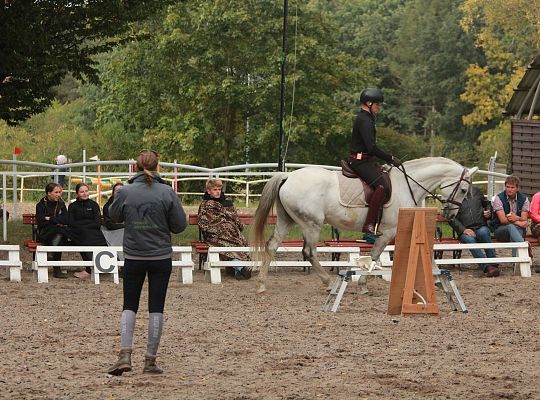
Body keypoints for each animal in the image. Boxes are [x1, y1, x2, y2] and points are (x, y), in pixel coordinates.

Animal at [250, 157, 476, 294]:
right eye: (464, 190)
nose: (449, 214)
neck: (408, 185)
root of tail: (288, 176)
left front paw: (437, 280)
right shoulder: (389, 231)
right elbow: (375, 256)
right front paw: (363, 284)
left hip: (286, 220)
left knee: (272, 246)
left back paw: (261, 284)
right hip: (311, 224)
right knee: (309, 252)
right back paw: (328, 282)